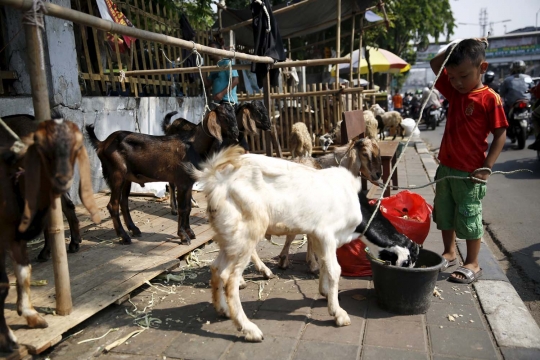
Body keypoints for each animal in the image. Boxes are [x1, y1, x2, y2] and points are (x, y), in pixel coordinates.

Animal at [86, 102, 238, 246]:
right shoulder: (182, 182)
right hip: (117, 174)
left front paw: (190, 232)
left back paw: (134, 230)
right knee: (113, 205)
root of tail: (102, 144)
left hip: (126, 178)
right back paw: (124, 237)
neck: (193, 145)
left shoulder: (188, 183)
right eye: (224, 116)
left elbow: (188, 208)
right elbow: (183, 208)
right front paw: (183, 237)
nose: (236, 133)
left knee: (123, 203)